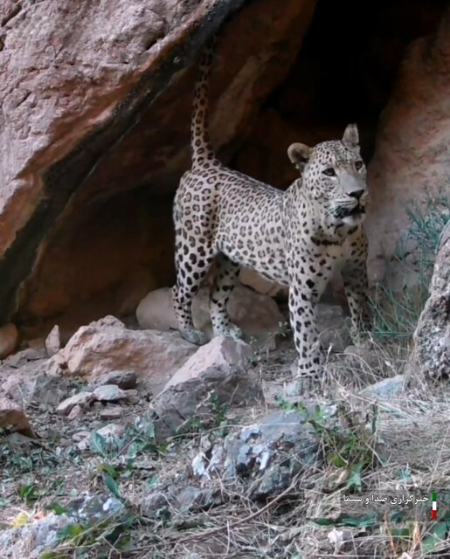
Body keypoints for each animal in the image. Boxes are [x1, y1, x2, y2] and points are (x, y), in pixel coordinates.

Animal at [172, 44, 370, 394]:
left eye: (358, 164)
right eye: (329, 173)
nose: (357, 193)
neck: (338, 231)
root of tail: (207, 162)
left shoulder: (356, 270)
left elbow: (358, 307)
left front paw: (362, 341)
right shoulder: (303, 289)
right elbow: (306, 334)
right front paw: (308, 377)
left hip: (229, 261)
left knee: (216, 295)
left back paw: (226, 333)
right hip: (193, 249)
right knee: (180, 290)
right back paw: (189, 332)